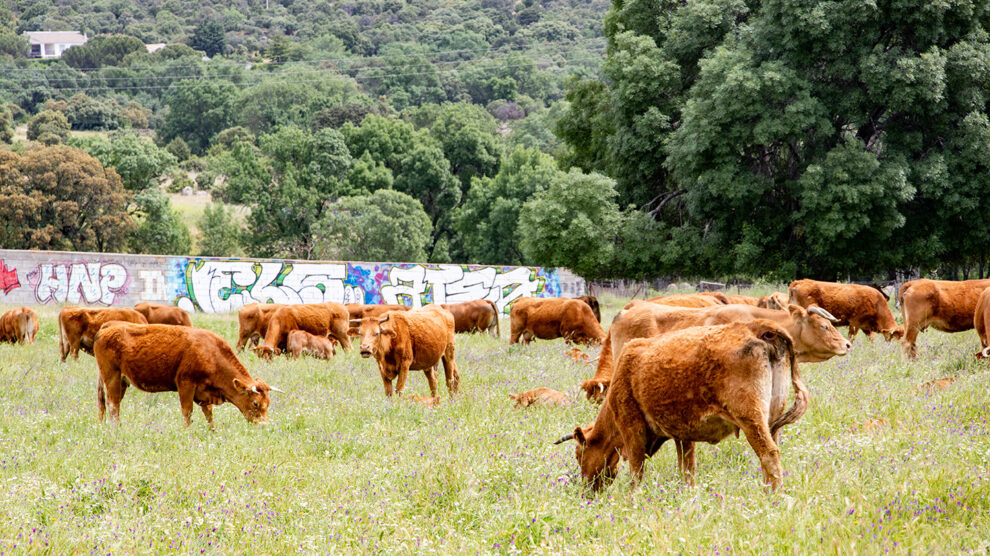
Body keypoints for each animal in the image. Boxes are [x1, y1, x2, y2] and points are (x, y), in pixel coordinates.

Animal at [93, 322, 280, 426]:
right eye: (256, 403)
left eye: (268, 403)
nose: (264, 424)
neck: (211, 353)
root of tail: (107, 327)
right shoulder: (185, 384)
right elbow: (187, 412)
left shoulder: (204, 393)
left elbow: (209, 414)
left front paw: (213, 432)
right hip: (112, 377)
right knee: (112, 405)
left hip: (121, 381)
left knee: (110, 405)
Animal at [556, 320, 808, 488]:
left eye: (579, 454)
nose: (587, 490)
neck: (626, 370)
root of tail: (760, 329)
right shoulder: (684, 436)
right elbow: (686, 469)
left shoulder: (632, 430)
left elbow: (637, 471)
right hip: (771, 422)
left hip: (751, 420)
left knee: (769, 454)